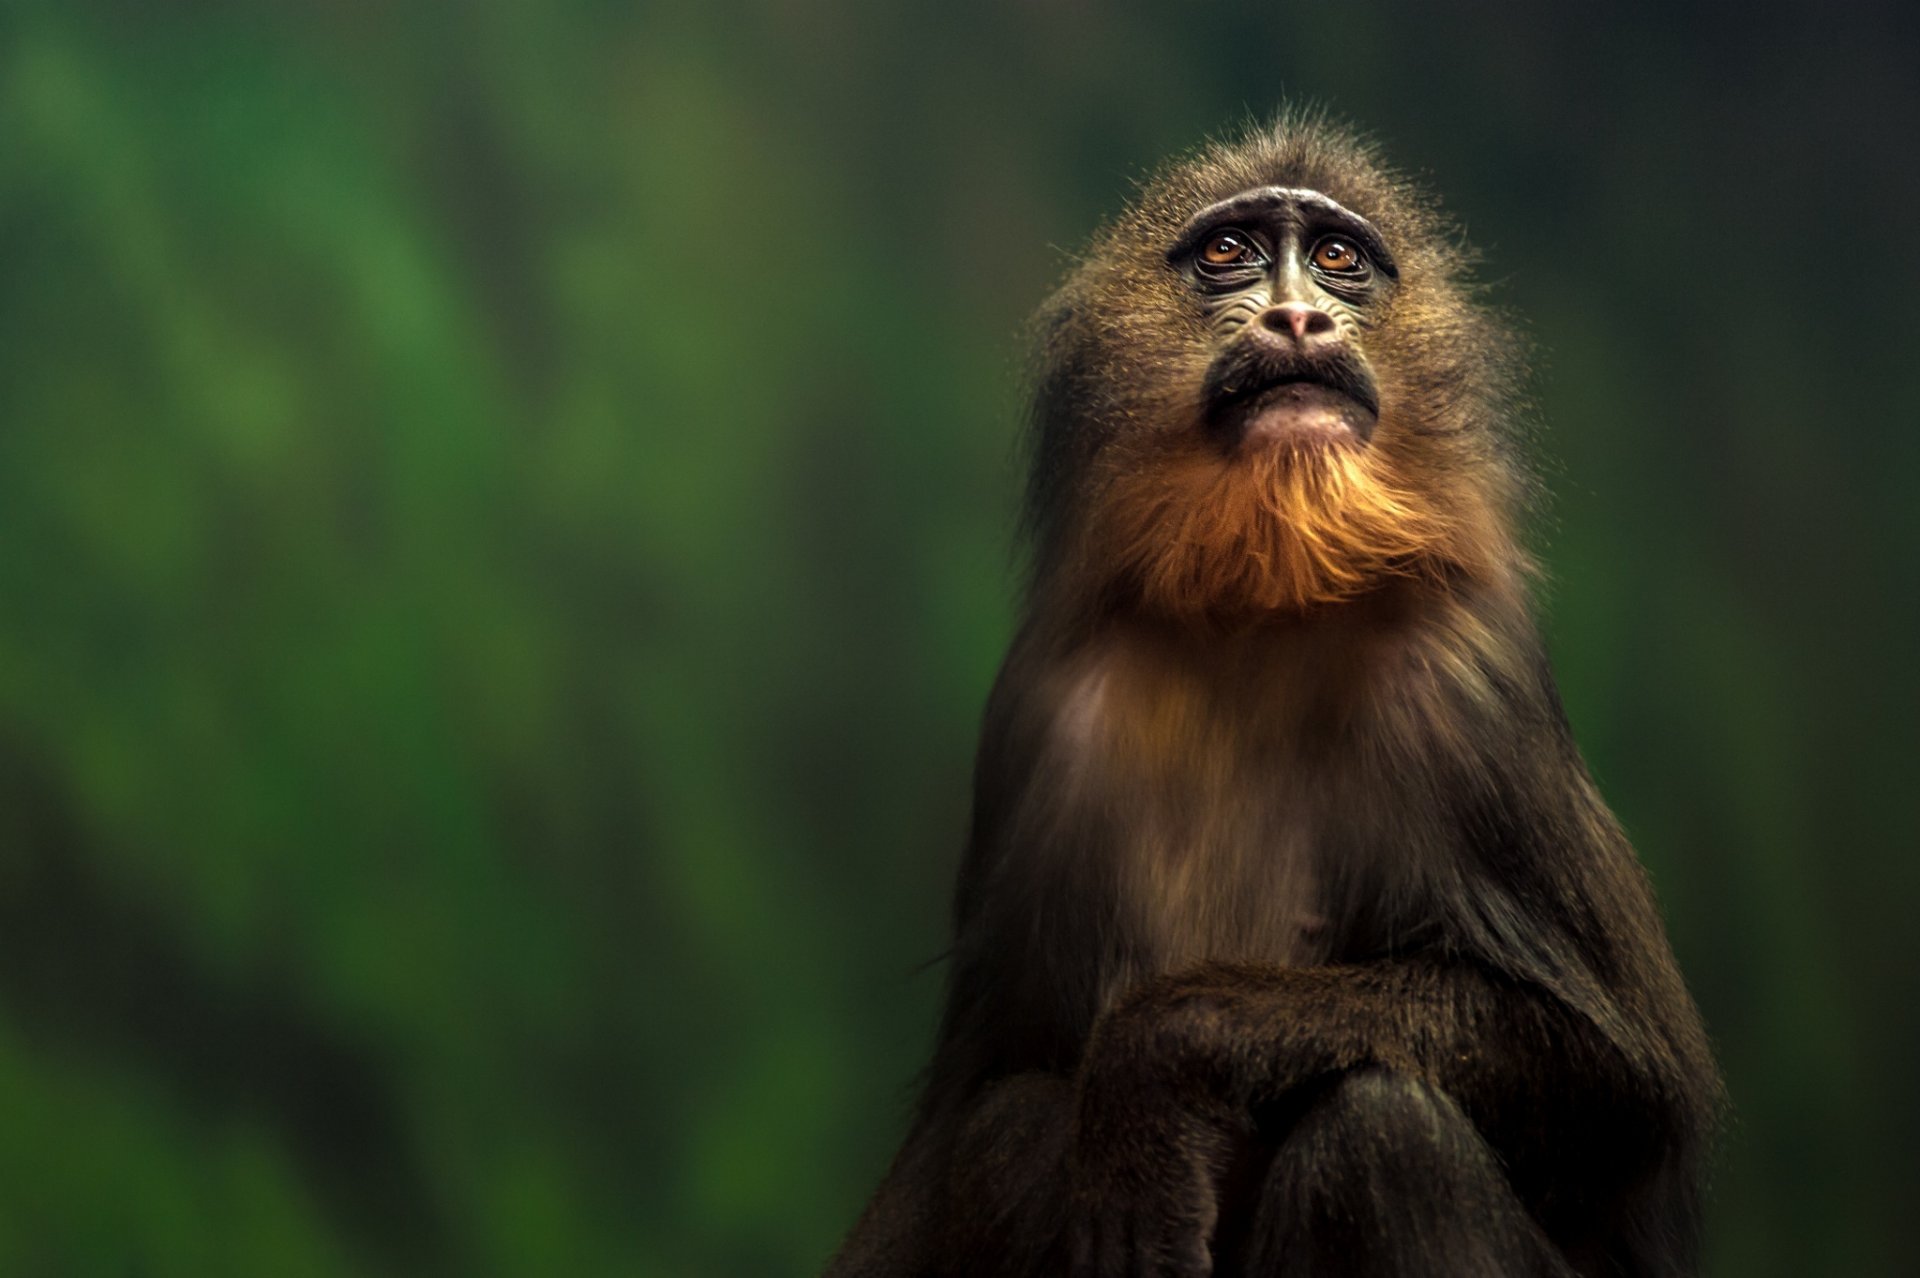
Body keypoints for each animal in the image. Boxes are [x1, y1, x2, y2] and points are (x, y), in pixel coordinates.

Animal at [825, 115, 1721, 1278]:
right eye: (1229, 253)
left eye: (1338, 258)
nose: (1298, 319)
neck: (1258, 607)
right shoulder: (1036, 707)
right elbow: (968, 1100)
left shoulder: (1466, 684)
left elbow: (1622, 1072)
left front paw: (1157, 1062)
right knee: (1008, 1131)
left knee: (1385, 1129)